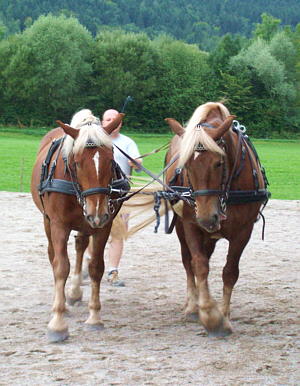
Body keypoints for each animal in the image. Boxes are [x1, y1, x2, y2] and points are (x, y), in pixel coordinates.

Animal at [31, 108, 127, 340]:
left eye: (111, 159)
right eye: (77, 162)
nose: (98, 212)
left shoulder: (103, 226)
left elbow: (96, 267)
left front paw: (94, 317)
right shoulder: (58, 225)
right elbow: (61, 266)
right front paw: (57, 323)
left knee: (81, 246)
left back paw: (74, 292)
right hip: (50, 221)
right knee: (53, 255)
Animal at [164, 101, 270, 336]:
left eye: (218, 163)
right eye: (186, 165)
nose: (206, 217)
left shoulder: (243, 231)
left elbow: (230, 272)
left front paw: (224, 317)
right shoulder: (191, 225)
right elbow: (199, 265)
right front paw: (208, 314)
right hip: (183, 227)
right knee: (188, 261)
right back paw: (192, 306)